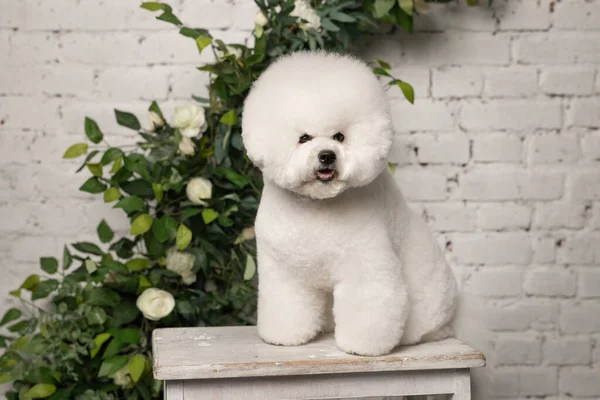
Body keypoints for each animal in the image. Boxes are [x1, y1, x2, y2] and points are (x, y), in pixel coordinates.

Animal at [241, 50, 458, 356]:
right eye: (303, 138)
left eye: (339, 137)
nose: (327, 155)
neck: (315, 208)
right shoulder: (285, 271)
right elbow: (288, 302)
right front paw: (286, 337)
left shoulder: (364, 265)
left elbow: (368, 302)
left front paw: (362, 346)